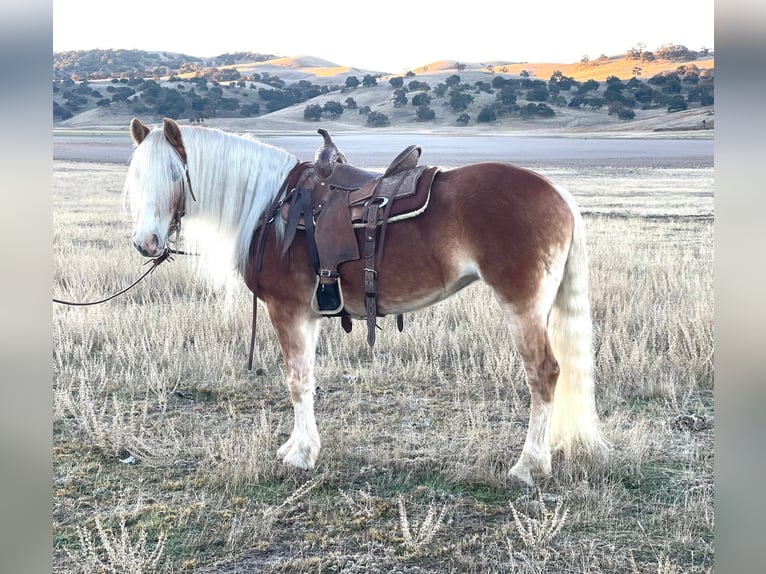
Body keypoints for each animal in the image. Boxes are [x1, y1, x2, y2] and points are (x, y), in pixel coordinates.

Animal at [124, 119, 608, 488]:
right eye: (136, 178)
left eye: (174, 177)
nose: (146, 243)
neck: (271, 206)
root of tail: (558, 194)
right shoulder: (309, 315)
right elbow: (307, 381)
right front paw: (298, 445)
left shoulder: (287, 311)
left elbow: (295, 382)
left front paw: (301, 455)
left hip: (522, 307)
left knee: (543, 374)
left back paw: (529, 465)